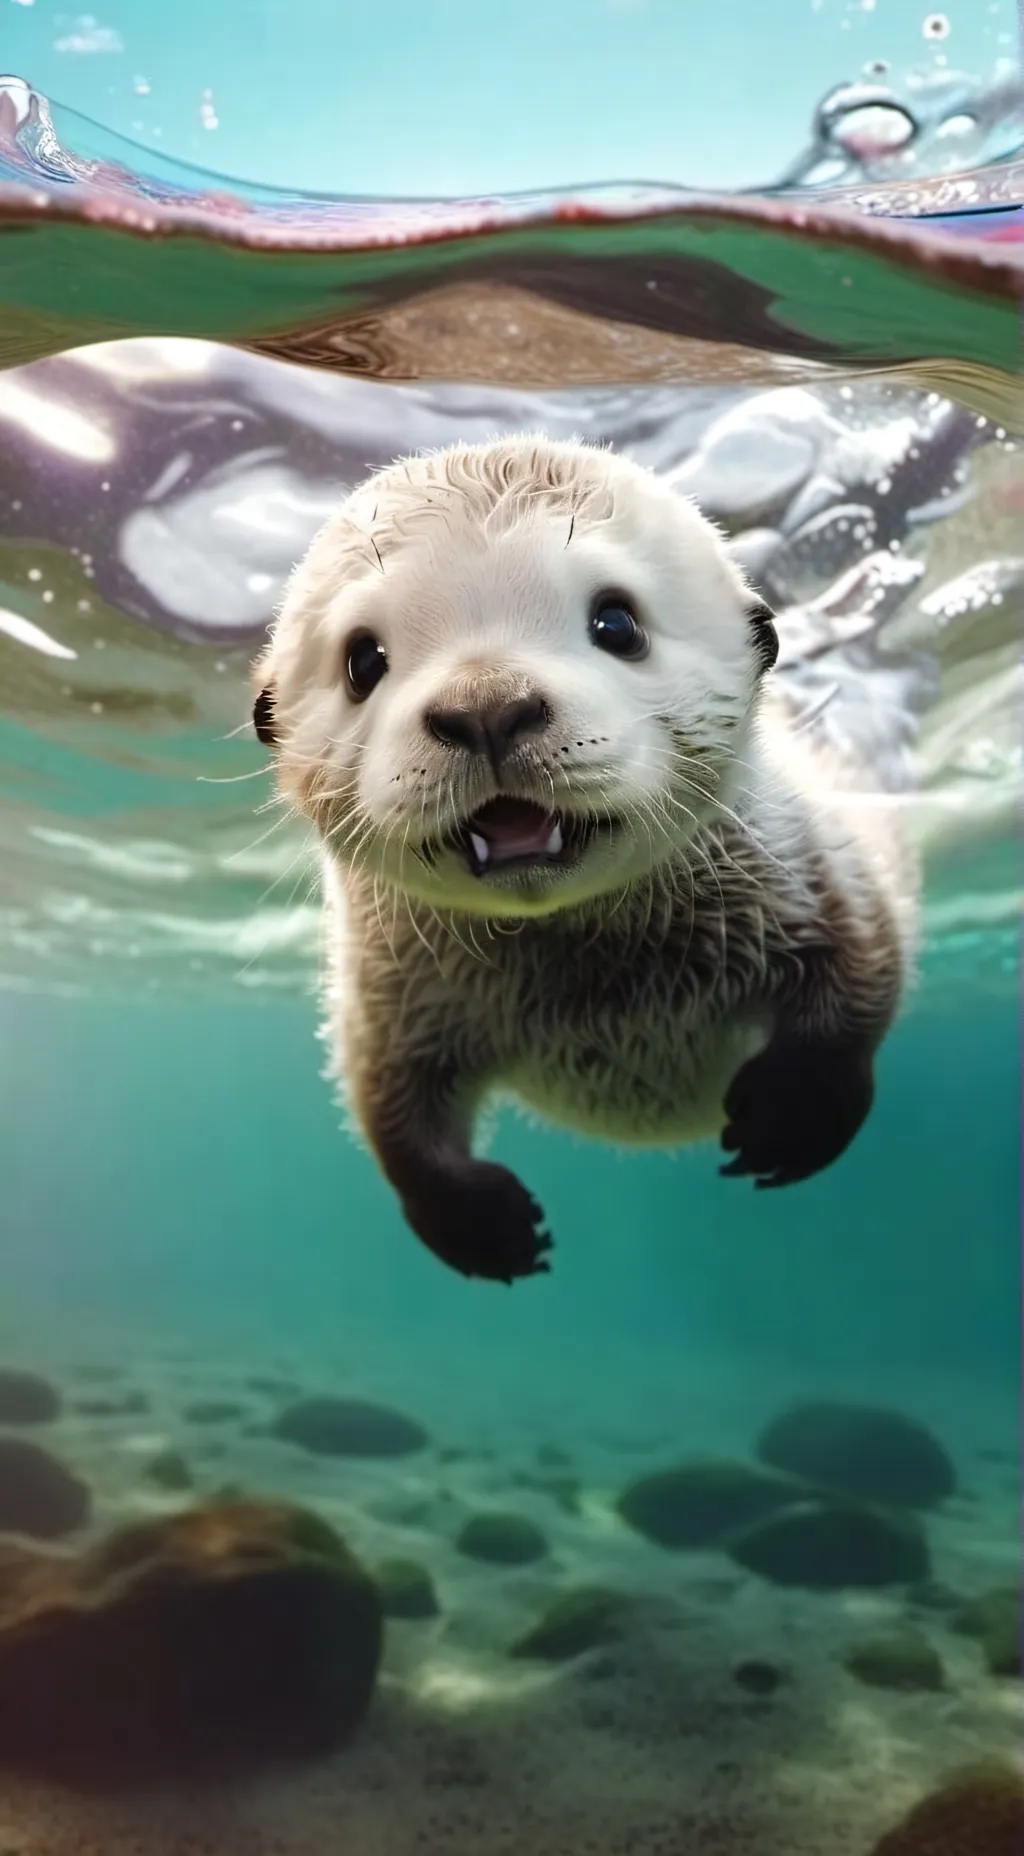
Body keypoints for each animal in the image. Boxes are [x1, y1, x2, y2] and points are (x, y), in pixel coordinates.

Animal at [253, 435, 914, 1284]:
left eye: (617, 621)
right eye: (362, 661)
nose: (487, 705)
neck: (600, 989)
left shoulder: (814, 866)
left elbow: (864, 968)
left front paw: (795, 1111)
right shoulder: (386, 992)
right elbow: (388, 1107)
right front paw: (479, 1224)